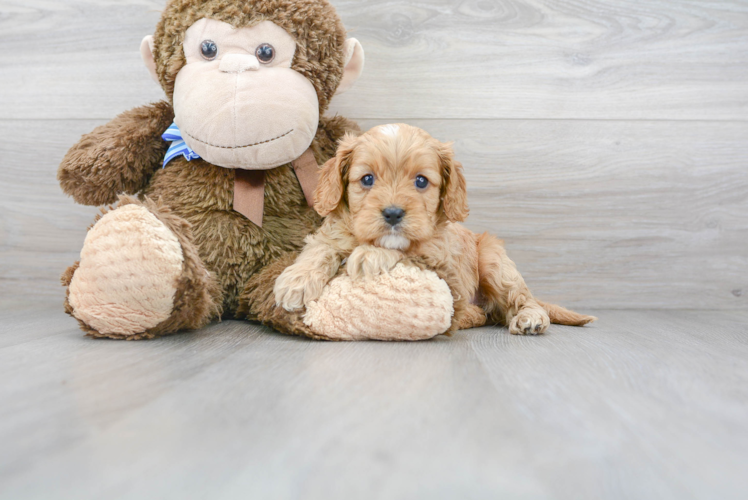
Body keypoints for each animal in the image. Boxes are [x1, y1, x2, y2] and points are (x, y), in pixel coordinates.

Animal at [274, 123, 596, 334]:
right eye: (367, 179)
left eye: (421, 181)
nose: (393, 214)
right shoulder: (333, 234)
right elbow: (320, 249)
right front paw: (295, 282)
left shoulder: (439, 258)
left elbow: (406, 251)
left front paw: (369, 255)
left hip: (494, 261)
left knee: (517, 299)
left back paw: (530, 318)